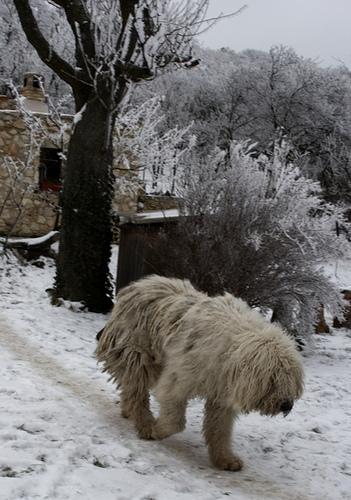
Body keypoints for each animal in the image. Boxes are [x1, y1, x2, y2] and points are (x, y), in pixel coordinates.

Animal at [97, 276, 306, 470]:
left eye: (291, 380)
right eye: (273, 380)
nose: (287, 405)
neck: (232, 349)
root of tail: (138, 285)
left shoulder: (221, 393)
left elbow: (220, 429)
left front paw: (225, 459)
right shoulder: (179, 378)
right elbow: (175, 421)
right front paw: (157, 429)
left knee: (131, 388)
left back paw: (129, 411)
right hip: (137, 353)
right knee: (137, 390)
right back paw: (144, 423)